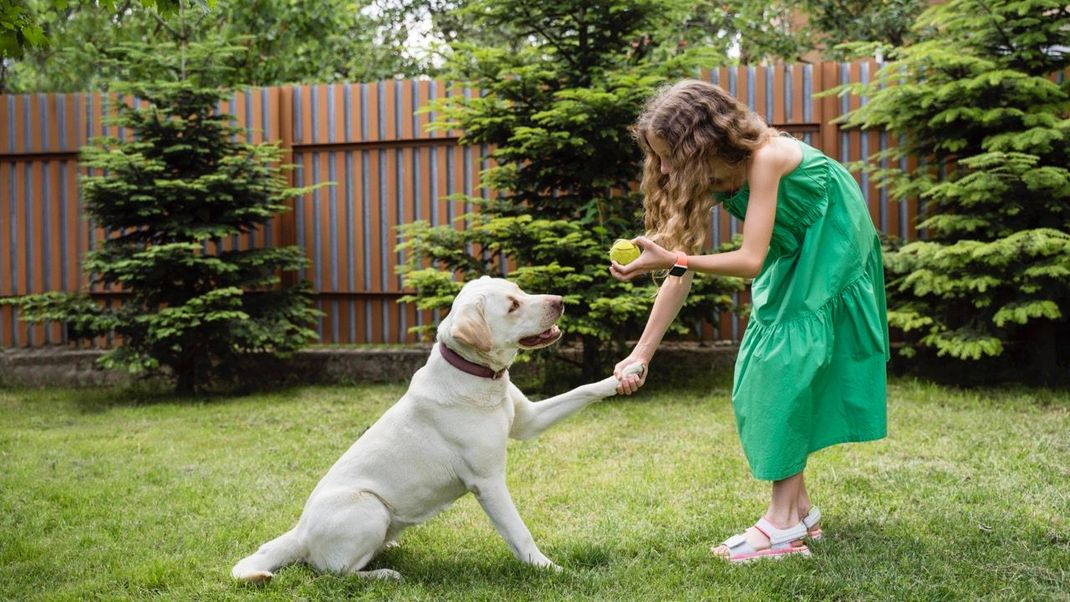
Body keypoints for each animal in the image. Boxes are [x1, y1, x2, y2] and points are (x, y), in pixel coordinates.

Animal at [233, 278, 642, 585]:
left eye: (521, 290)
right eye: (512, 305)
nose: (560, 300)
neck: (479, 377)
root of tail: (299, 532)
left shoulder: (529, 422)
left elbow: (582, 390)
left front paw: (624, 375)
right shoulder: (488, 481)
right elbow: (518, 531)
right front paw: (549, 569)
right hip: (368, 506)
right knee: (330, 571)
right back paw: (383, 574)